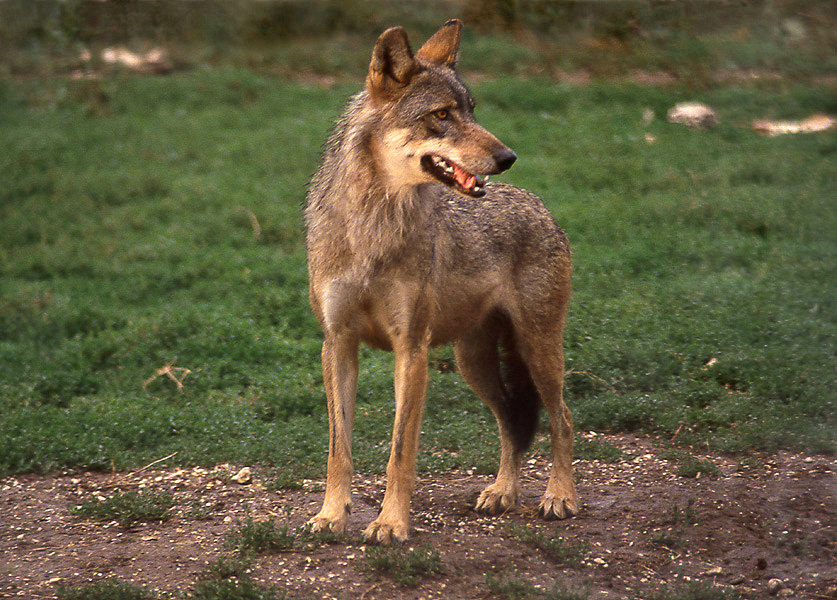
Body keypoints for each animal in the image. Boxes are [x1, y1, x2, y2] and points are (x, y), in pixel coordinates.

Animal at [306, 18, 576, 544]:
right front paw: (331, 516)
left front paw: (390, 523)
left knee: (562, 418)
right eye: (442, 115)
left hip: (537, 351)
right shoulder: (337, 344)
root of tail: (540, 205)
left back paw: (560, 496)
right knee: (512, 422)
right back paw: (503, 492)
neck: (373, 226)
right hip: (473, 363)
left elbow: (399, 453)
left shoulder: (411, 351)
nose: (508, 155)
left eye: (472, 111)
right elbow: (337, 450)